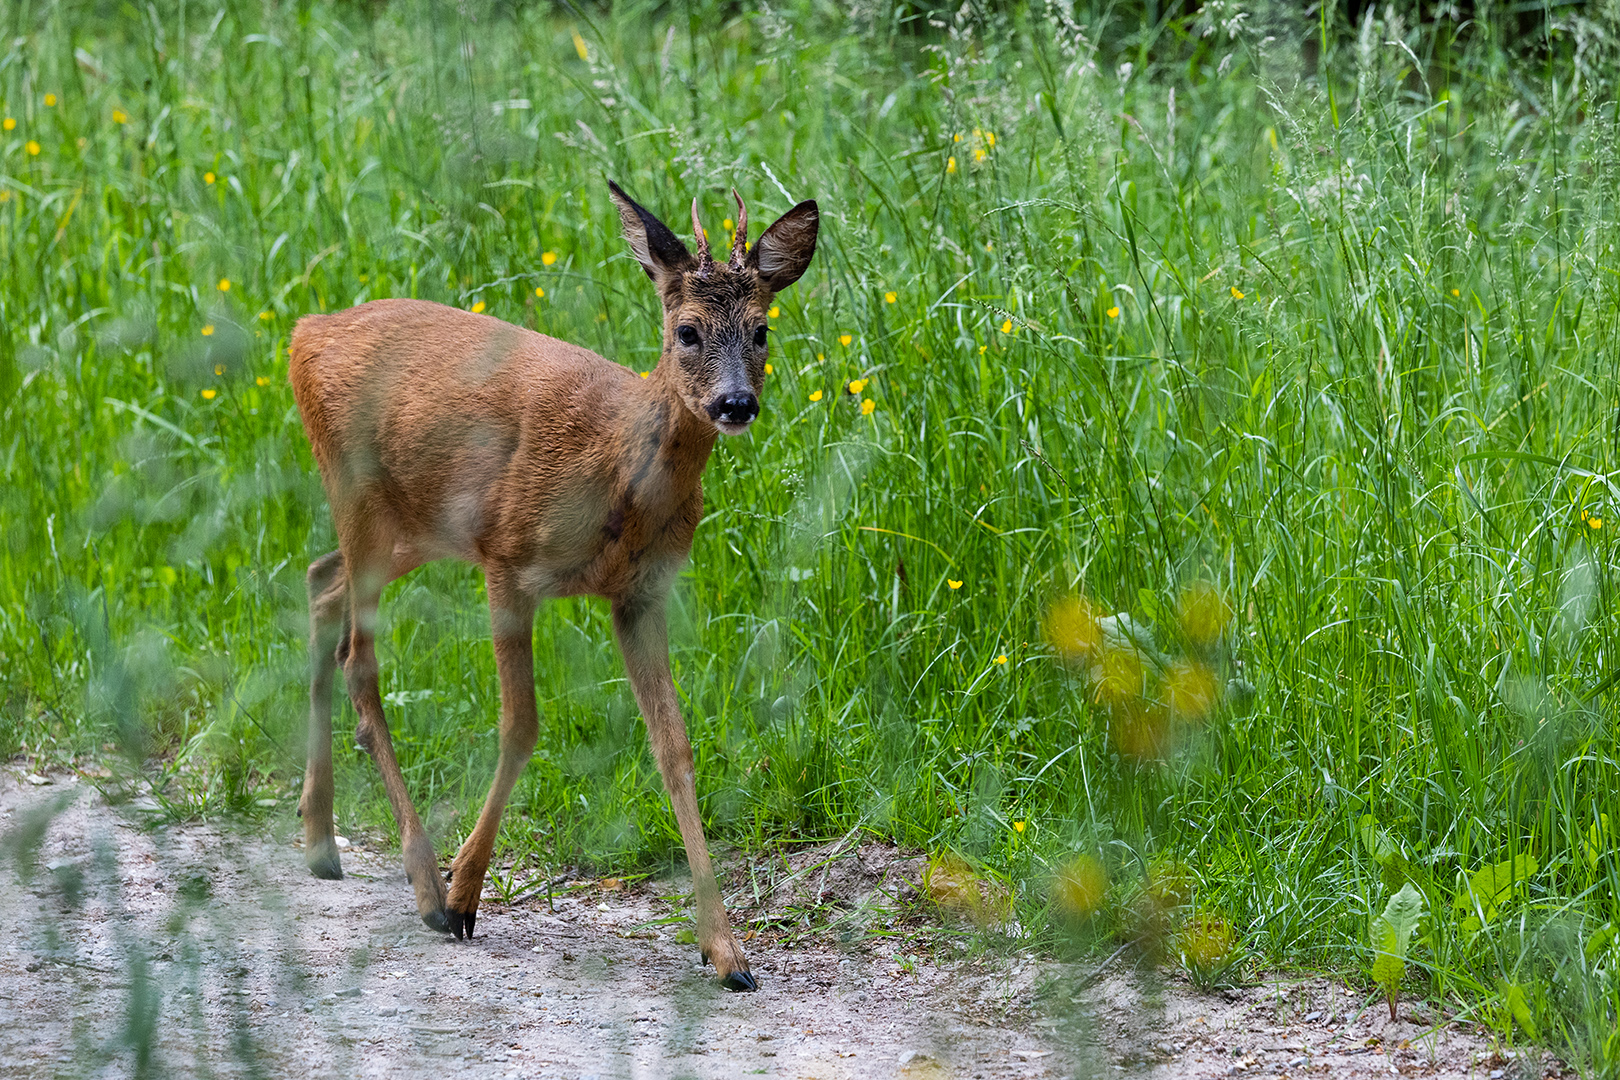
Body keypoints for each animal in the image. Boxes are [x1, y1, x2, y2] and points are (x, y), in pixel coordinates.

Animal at [289, 179, 816, 990]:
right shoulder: (509, 561)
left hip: (409, 529)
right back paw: (424, 885)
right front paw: (465, 894)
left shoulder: (640, 596)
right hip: (357, 493)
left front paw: (727, 952)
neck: (617, 474)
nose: (735, 405)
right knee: (358, 660)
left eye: (760, 330)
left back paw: (320, 840)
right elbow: (521, 724)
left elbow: (675, 748)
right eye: (688, 331)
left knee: (320, 582)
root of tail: (304, 332)